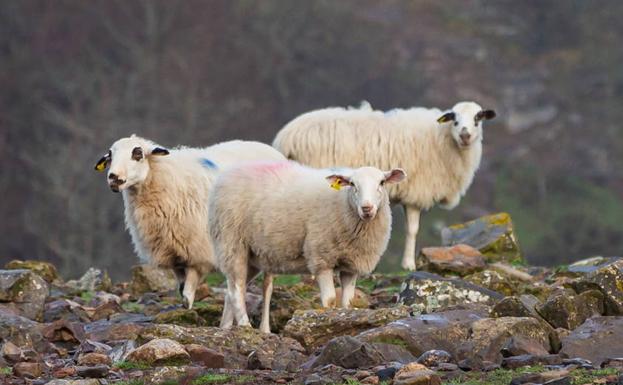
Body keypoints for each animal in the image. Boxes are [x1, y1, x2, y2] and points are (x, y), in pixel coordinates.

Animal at [94, 134, 286, 308]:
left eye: (137, 153)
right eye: (110, 156)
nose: (114, 178)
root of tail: (272, 150)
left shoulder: (197, 253)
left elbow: (186, 297)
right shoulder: (173, 255)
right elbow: (181, 291)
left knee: (267, 287)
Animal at [207, 160, 408, 332]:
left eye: (382, 182)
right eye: (352, 184)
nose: (367, 208)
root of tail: (228, 174)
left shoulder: (351, 265)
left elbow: (348, 303)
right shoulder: (321, 258)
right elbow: (330, 301)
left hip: (252, 256)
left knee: (232, 289)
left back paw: (225, 328)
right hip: (231, 242)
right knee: (237, 289)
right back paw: (245, 326)